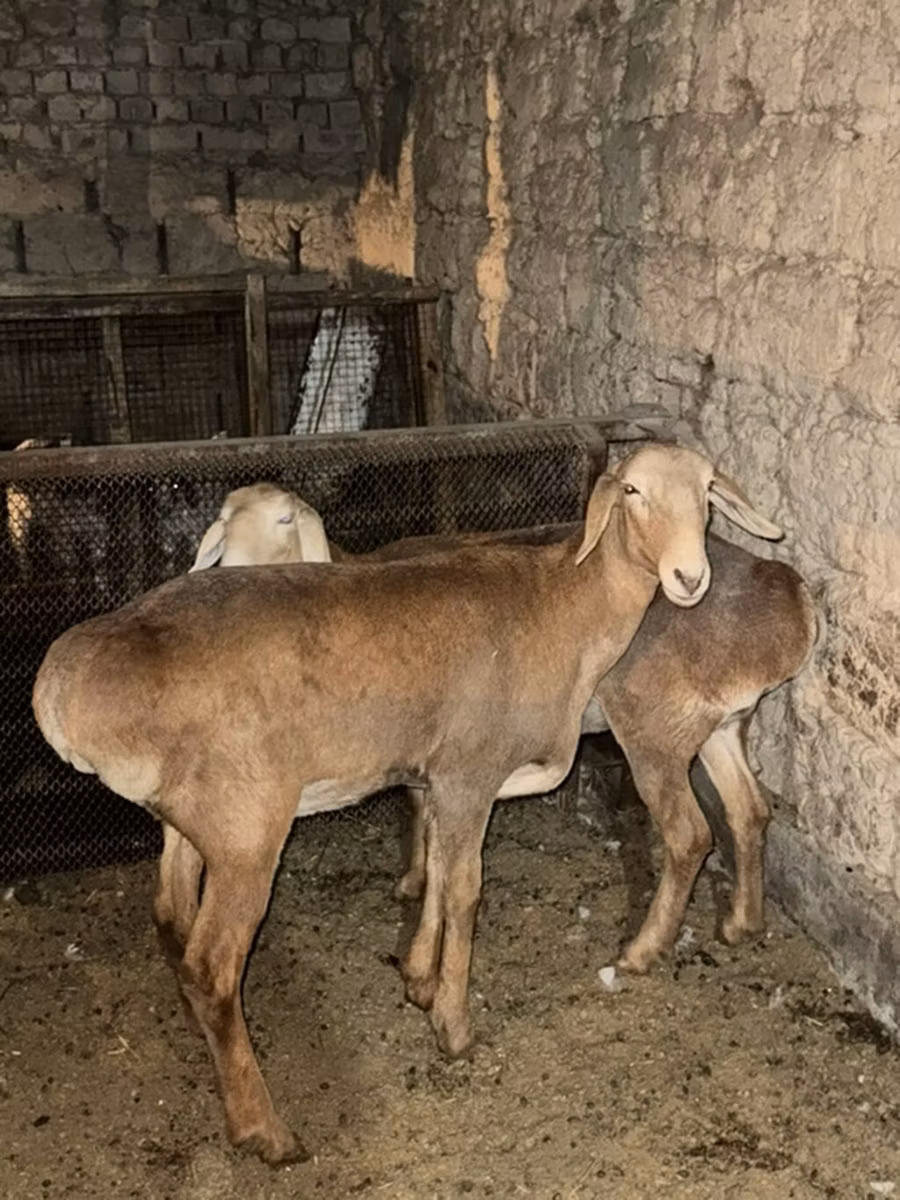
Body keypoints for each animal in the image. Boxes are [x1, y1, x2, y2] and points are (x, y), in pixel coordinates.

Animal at [191, 481, 817, 968]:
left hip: (654, 726)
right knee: (750, 810)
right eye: (221, 525)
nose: (231, 586)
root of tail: (789, 602)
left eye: (285, 519)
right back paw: (742, 924)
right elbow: (423, 805)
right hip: (718, 724)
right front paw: (416, 880)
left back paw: (641, 951)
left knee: (689, 835)